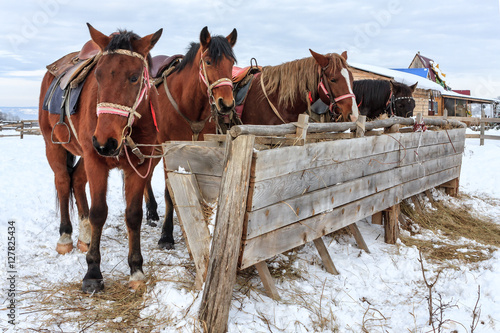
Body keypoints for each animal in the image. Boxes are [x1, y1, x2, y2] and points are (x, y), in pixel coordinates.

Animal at [40, 23, 164, 292]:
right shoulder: (96, 161)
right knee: (63, 182)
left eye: (134, 77)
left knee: (76, 181)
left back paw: (85, 236)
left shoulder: (139, 166)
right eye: (98, 76)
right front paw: (93, 272)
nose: (106, 142)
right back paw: (66, 235)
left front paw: (136, 269)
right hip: (56, 147)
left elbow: (133, 215)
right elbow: (99, 212)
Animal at [148, 27, 236, 248]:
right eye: (209, 61)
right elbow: (169, 192)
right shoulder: (168, 149)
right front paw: (166, 235)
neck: (187, 103)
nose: (227, 104)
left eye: (232, 63)